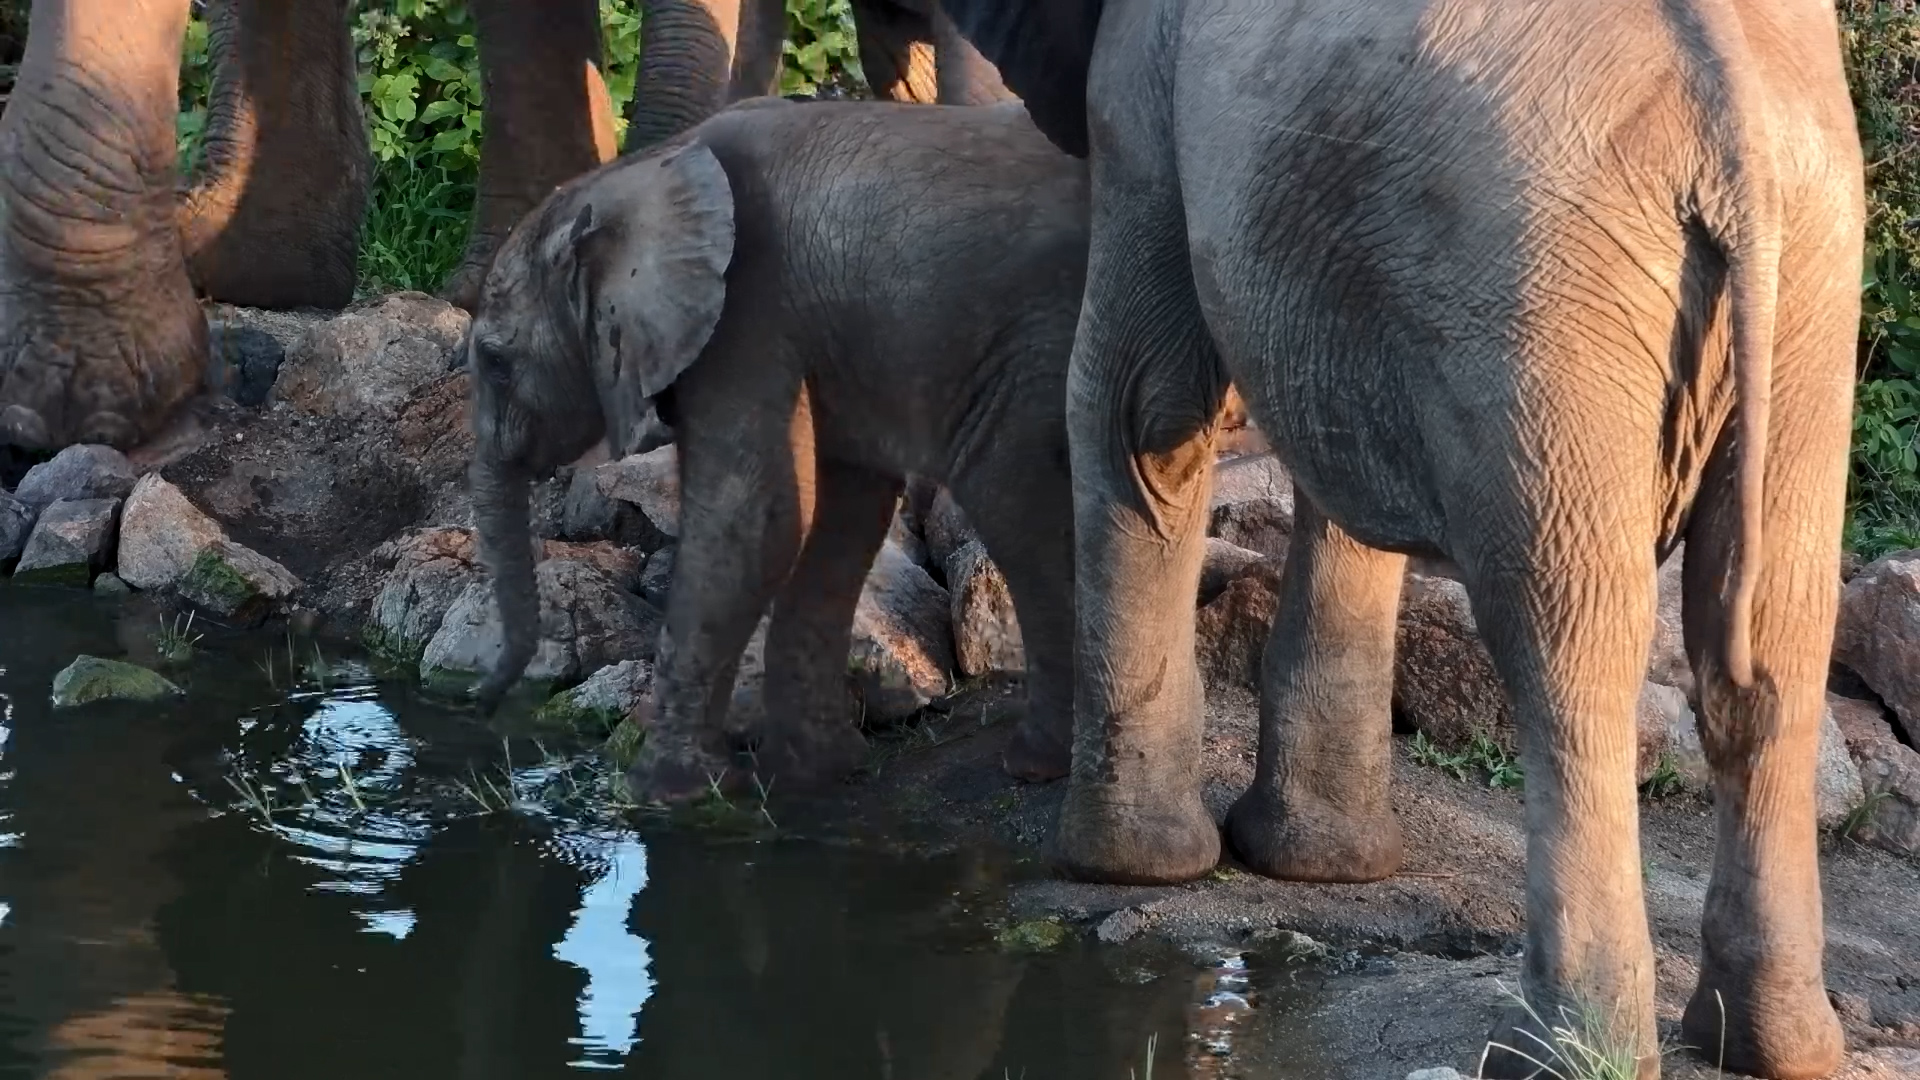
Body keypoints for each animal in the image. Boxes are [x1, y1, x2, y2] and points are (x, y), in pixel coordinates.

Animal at [463, 97, 1086, 794]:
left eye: (495, 363)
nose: (479, 706)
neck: (640, 172)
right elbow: (845, 508)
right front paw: (817, 773)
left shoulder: (747, 313)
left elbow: (754, 519)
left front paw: (660, 795)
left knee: (1013, 497)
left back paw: (1036, 764)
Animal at [930, 0, 1865, 1076]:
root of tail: (1733, 118)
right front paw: (1320, 869)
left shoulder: (1140, 85)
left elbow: (1137, 405)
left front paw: (1126, 873)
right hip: (1806, 284)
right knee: (1774, 641)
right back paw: (1772, 1046)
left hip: (1542, 289)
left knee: (1569, 650)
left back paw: (1556, 1053)